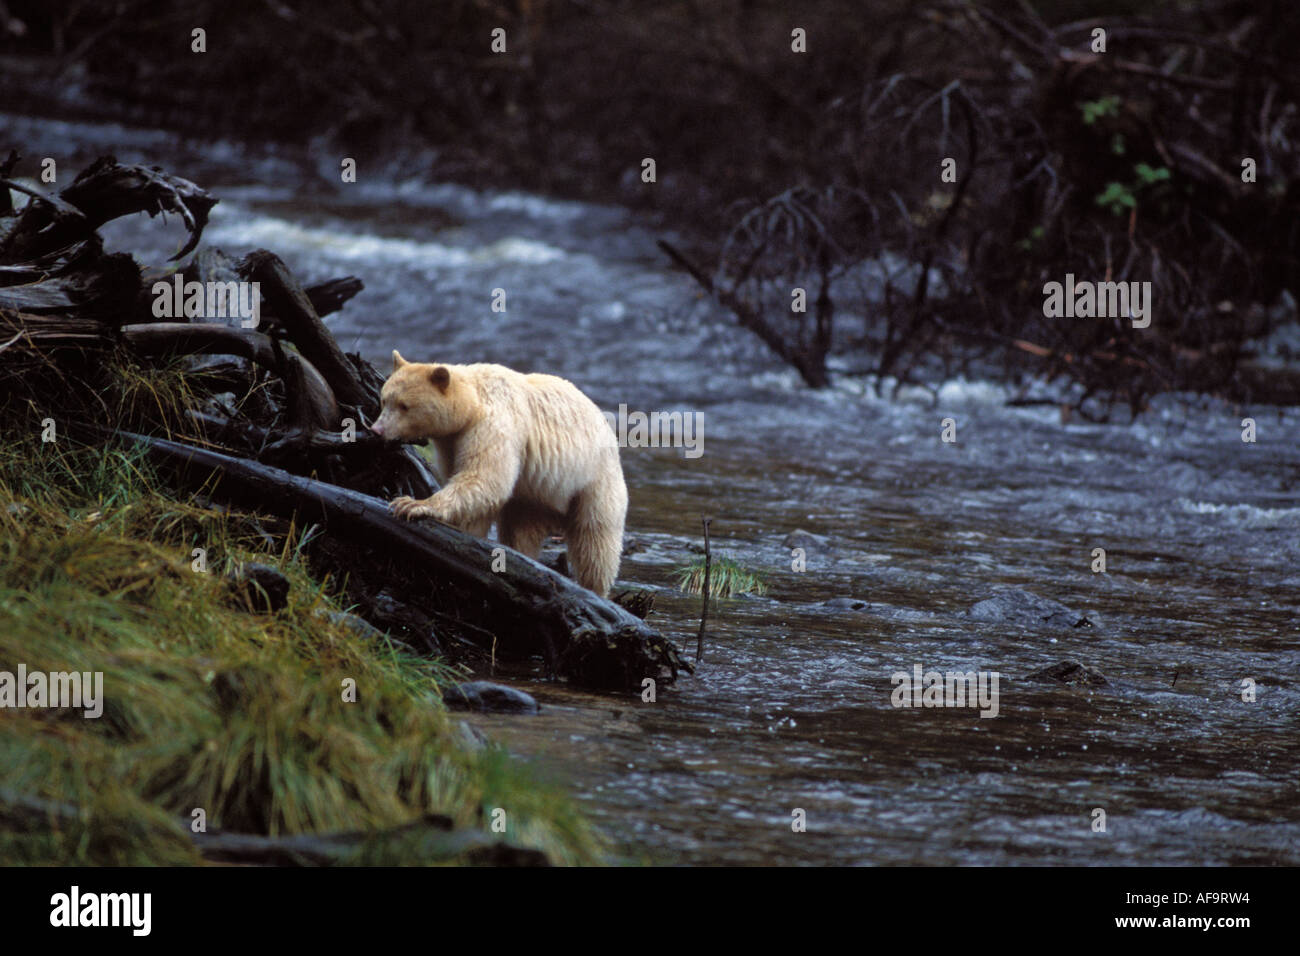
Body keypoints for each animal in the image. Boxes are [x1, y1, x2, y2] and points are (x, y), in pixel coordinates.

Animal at [369, 351, 627, 597]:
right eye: (385, 399)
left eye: (404, 405)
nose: (377, 430)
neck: (471, 405)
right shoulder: (452, 442)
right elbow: (474, 495)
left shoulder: (492, 424)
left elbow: (483, 477)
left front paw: (413, 504)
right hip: (532, 497)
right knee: (520, 531)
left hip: (595, 480)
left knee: (595, 541)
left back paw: (595, 589)